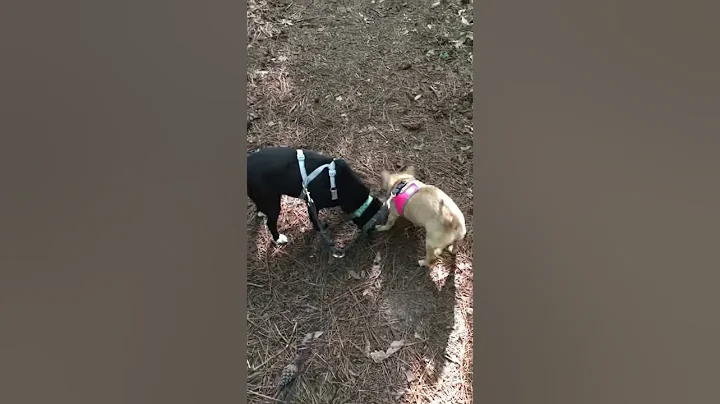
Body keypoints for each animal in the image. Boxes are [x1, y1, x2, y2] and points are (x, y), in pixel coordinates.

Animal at [248, 147, 382, 245]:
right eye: (374, 225)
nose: (373, 238)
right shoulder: (313, 203)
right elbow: (315, 220)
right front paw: (321, 228)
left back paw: (261, 212)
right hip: (273, 205)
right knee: (270, 223)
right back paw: (278, 239)